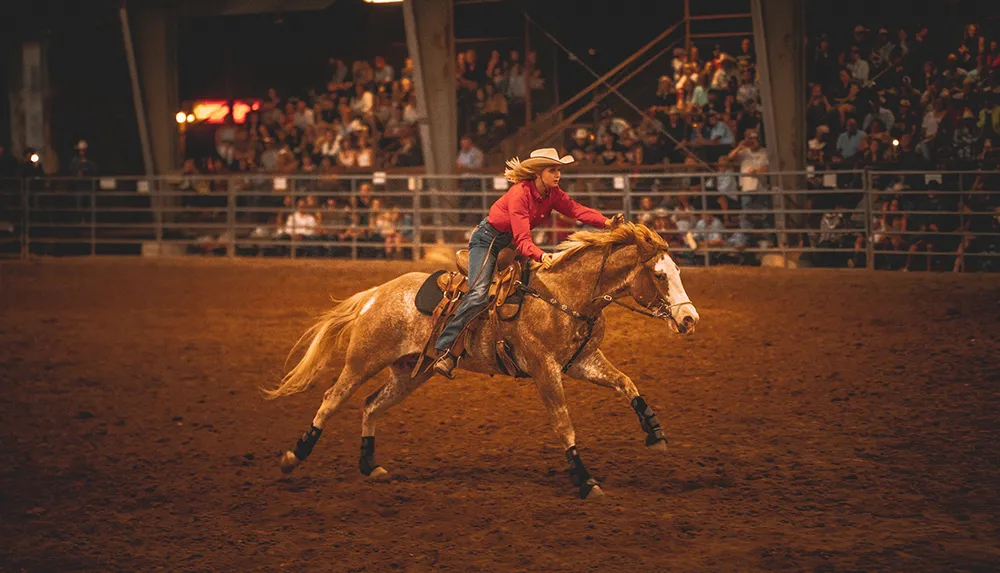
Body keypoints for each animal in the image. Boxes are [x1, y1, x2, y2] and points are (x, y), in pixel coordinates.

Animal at [268, 221, 704, 498]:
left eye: (678, 270)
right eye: (660, 275)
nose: (689, 319)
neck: (563, 295)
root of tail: (375, 293)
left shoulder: (582, 361)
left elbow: (627, 383)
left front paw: (655, 433)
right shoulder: (545, 369)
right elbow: (564, 424)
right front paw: (584, 480)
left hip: (411, 373)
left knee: (372, 404)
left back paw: (369, 464)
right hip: (363, 361)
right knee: (332, 400)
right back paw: (293, 457)